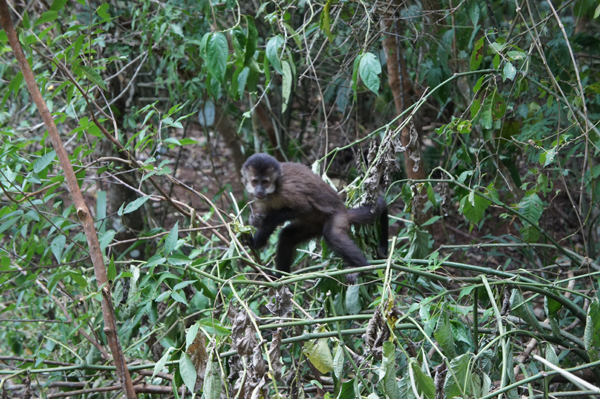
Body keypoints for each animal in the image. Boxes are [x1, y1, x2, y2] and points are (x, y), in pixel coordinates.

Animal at [241, 153, 386, 284]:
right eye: (255, 182)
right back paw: (280, 279)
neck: (273, 191)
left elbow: (303, 208)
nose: (259, 190)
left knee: (332, 235)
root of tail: (344, 210)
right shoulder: (260, 199)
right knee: (287, 236)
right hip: (314, 225)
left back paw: (362, 267)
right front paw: (254, 243)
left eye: (265, 182)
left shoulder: (286, 189)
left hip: (338, 217)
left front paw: (261, 220)